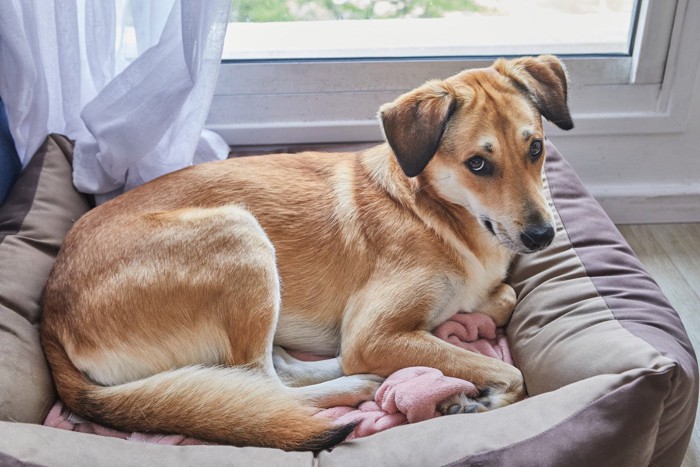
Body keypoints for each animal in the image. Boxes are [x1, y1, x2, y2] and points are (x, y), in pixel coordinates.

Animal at [39, 55, 576, 454]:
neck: (433, 210)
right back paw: (358, 383)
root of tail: (49, 313)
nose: (543, 235)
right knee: (264, 385)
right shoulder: (372, 333)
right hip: (239, 236)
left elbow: (503, 297)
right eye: (478, 164)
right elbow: (512, 373)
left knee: (272, 374)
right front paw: (477, 399)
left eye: (536, 149)